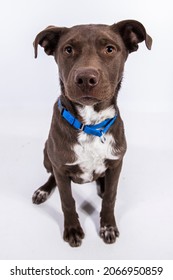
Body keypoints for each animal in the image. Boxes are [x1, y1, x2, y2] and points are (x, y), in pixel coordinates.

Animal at [32, 19, 151, 247]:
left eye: (110, 49)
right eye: (68, 49)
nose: (86, 78)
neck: (90, 125)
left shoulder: (117, 162)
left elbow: (111, 197)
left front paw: (108, 227)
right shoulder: (61, 166)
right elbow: (67, 200)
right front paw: (72, 229)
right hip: (46, 153)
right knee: (52, 175)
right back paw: (43, 190)